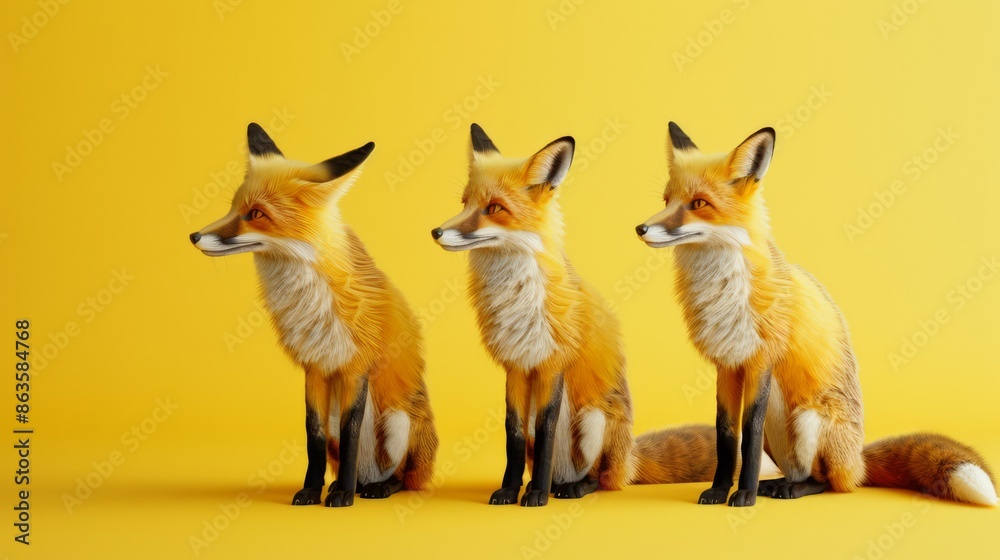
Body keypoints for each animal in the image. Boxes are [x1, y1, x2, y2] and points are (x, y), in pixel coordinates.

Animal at [190, 123, 438, 507]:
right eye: (233, 208)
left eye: (256, 214)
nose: (194, 236)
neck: (309, 301)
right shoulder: (315, 369)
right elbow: (314, 435)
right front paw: (311, 489)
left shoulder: (355, 368)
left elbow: (352, 433)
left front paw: (343, 495)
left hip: (398, 421)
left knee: (401, 476)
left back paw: (371, 488)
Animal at [431, 124, 775, 506]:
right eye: (465, 203)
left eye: (493, 208)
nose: (436, 232)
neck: (514, 296)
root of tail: (629, 458)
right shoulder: (515, 366)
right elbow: (514, 434)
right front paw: (509, 490)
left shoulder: (552, 364)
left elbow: (545, 429)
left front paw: (535, 496)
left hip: (594, 420)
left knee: (601, 478)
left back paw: (569, 488)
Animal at [635, 121, 998, 507]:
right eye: (666, 201)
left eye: (699, 204)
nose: (640, 229)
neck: (721, 287)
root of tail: (857, 462)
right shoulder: (727, 365)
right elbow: (727, 435)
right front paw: (720, 490)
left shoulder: (761, 359)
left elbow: (749, 433)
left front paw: (744, 494)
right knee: (803, 472)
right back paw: (776, 484)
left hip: (809, 420)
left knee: (826, 482)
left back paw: (790, 489)